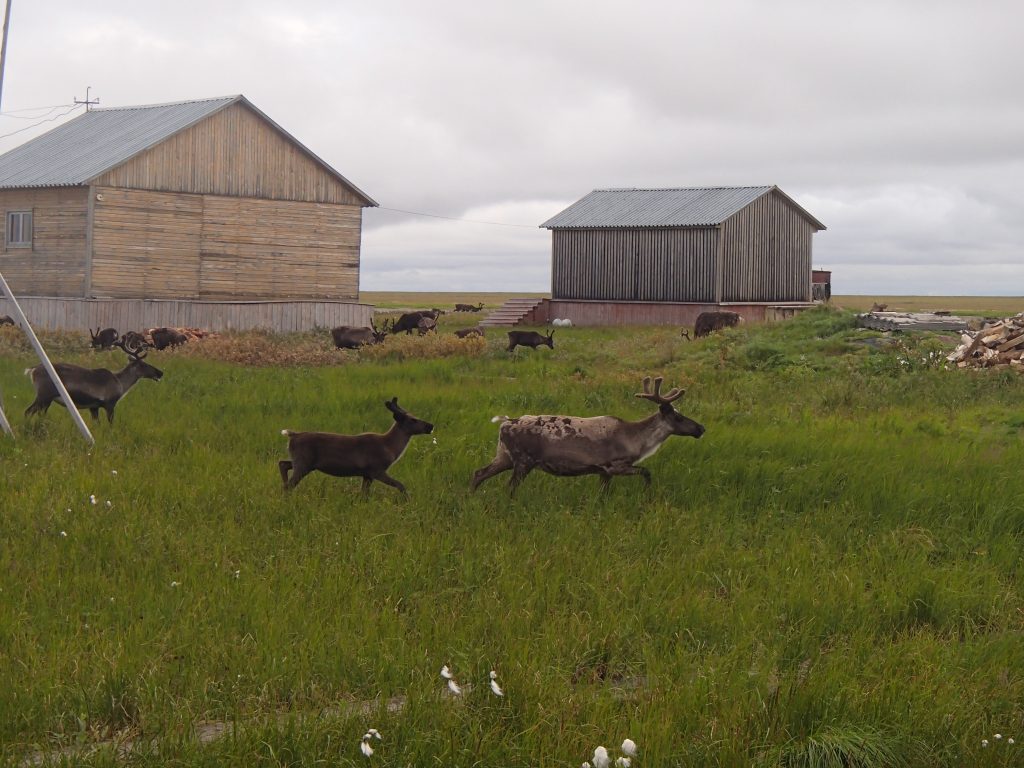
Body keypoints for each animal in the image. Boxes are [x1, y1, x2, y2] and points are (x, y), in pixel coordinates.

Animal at [278, 399, 434, 495]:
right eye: (413, 420)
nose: (431, 426)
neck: (389, 447)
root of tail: (293, 435)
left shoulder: (366, 474)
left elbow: (363, 495)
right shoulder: (376, 470)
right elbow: (401, 485)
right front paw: (408, 500)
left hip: (303, 462)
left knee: (283, 464)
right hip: (303, 462)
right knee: (288, 484)